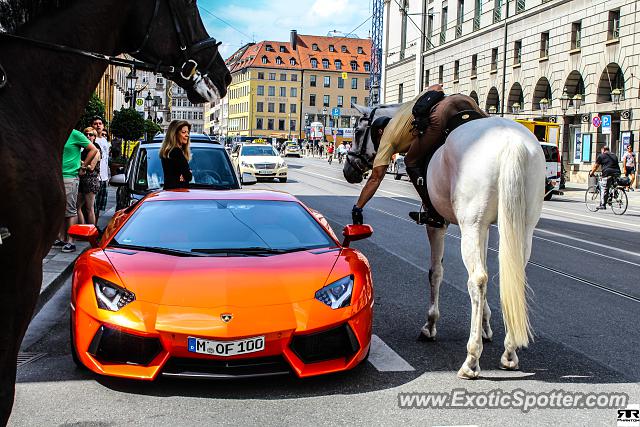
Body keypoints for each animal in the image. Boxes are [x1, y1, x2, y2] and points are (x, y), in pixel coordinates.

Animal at [344, 102, 544, 380]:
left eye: (357, 131)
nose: (349, 169)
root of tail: (511, 143)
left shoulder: (437, 224)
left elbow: (435, 272)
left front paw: (431, 324)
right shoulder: (486, 228)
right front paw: (485, 325)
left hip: (471, 226)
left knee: (477, 281)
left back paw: (472, 359)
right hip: (520, 227)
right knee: (509, 274)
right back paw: (509, 352)